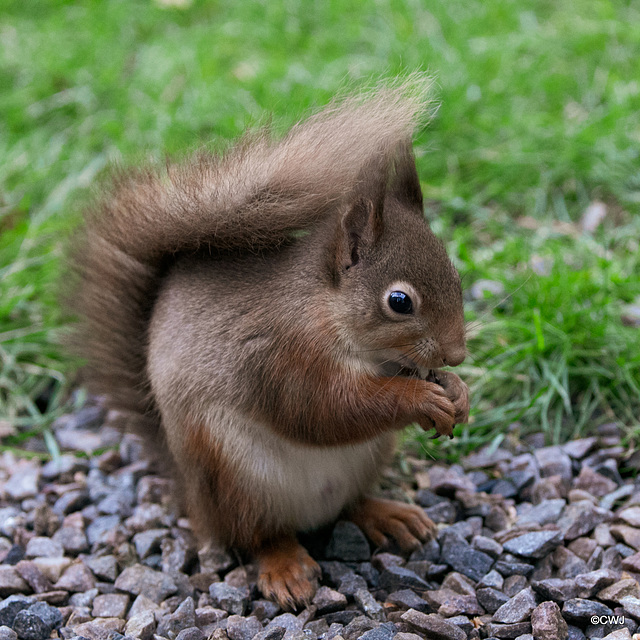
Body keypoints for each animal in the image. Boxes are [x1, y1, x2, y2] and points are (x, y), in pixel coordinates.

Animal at [71, 80, 470, 608]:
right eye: (399, 301)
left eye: (456, 274)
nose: (457, 354)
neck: (326, 312)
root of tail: (193, 498)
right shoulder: (282, 354)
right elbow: (326, 410)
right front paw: (421, 398)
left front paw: (458, 391)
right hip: (233, 478)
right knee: (258, 535)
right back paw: (285, 568)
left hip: (364, 462)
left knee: (348, 506)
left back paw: (388, 514)